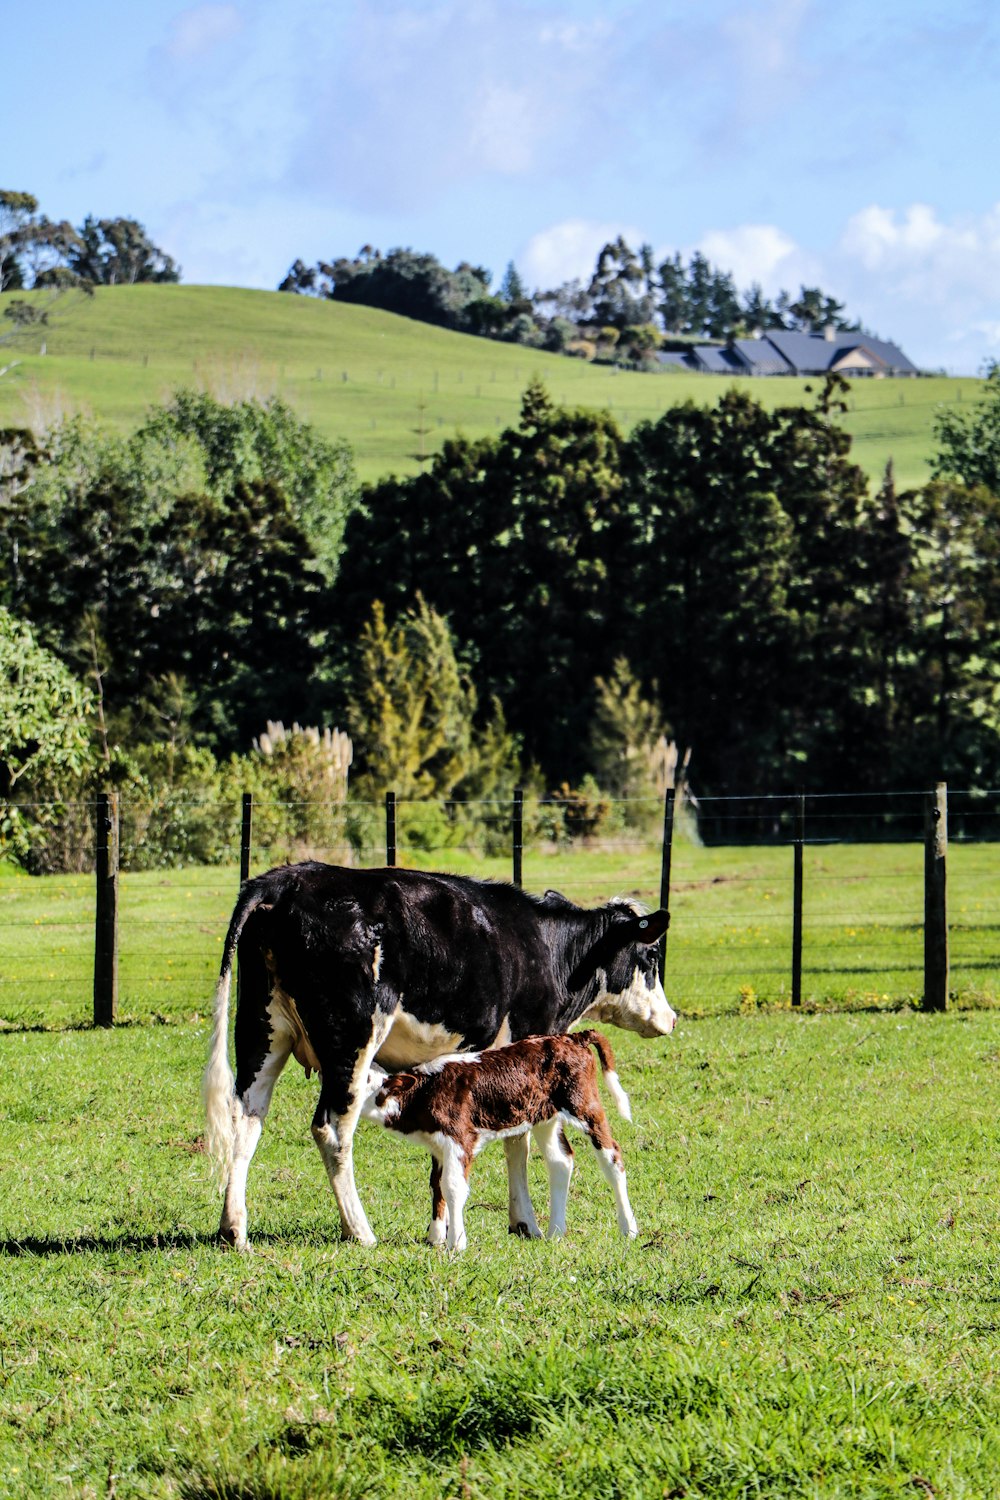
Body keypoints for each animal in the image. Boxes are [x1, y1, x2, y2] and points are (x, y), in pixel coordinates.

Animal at [364, 1032, 638, 1254]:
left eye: (365, 1079)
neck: (424, 1092)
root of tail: (571, 1037)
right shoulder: (439, 1146)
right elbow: (436, 1185)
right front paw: (435, 1237)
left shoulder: (459, 1139)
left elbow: (452, 1186)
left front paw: (456, 1244)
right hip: (544, 1116)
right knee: (561, 1160)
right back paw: (556, 1233)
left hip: (584, 1104)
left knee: (612, 1156)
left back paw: (629, 1229)